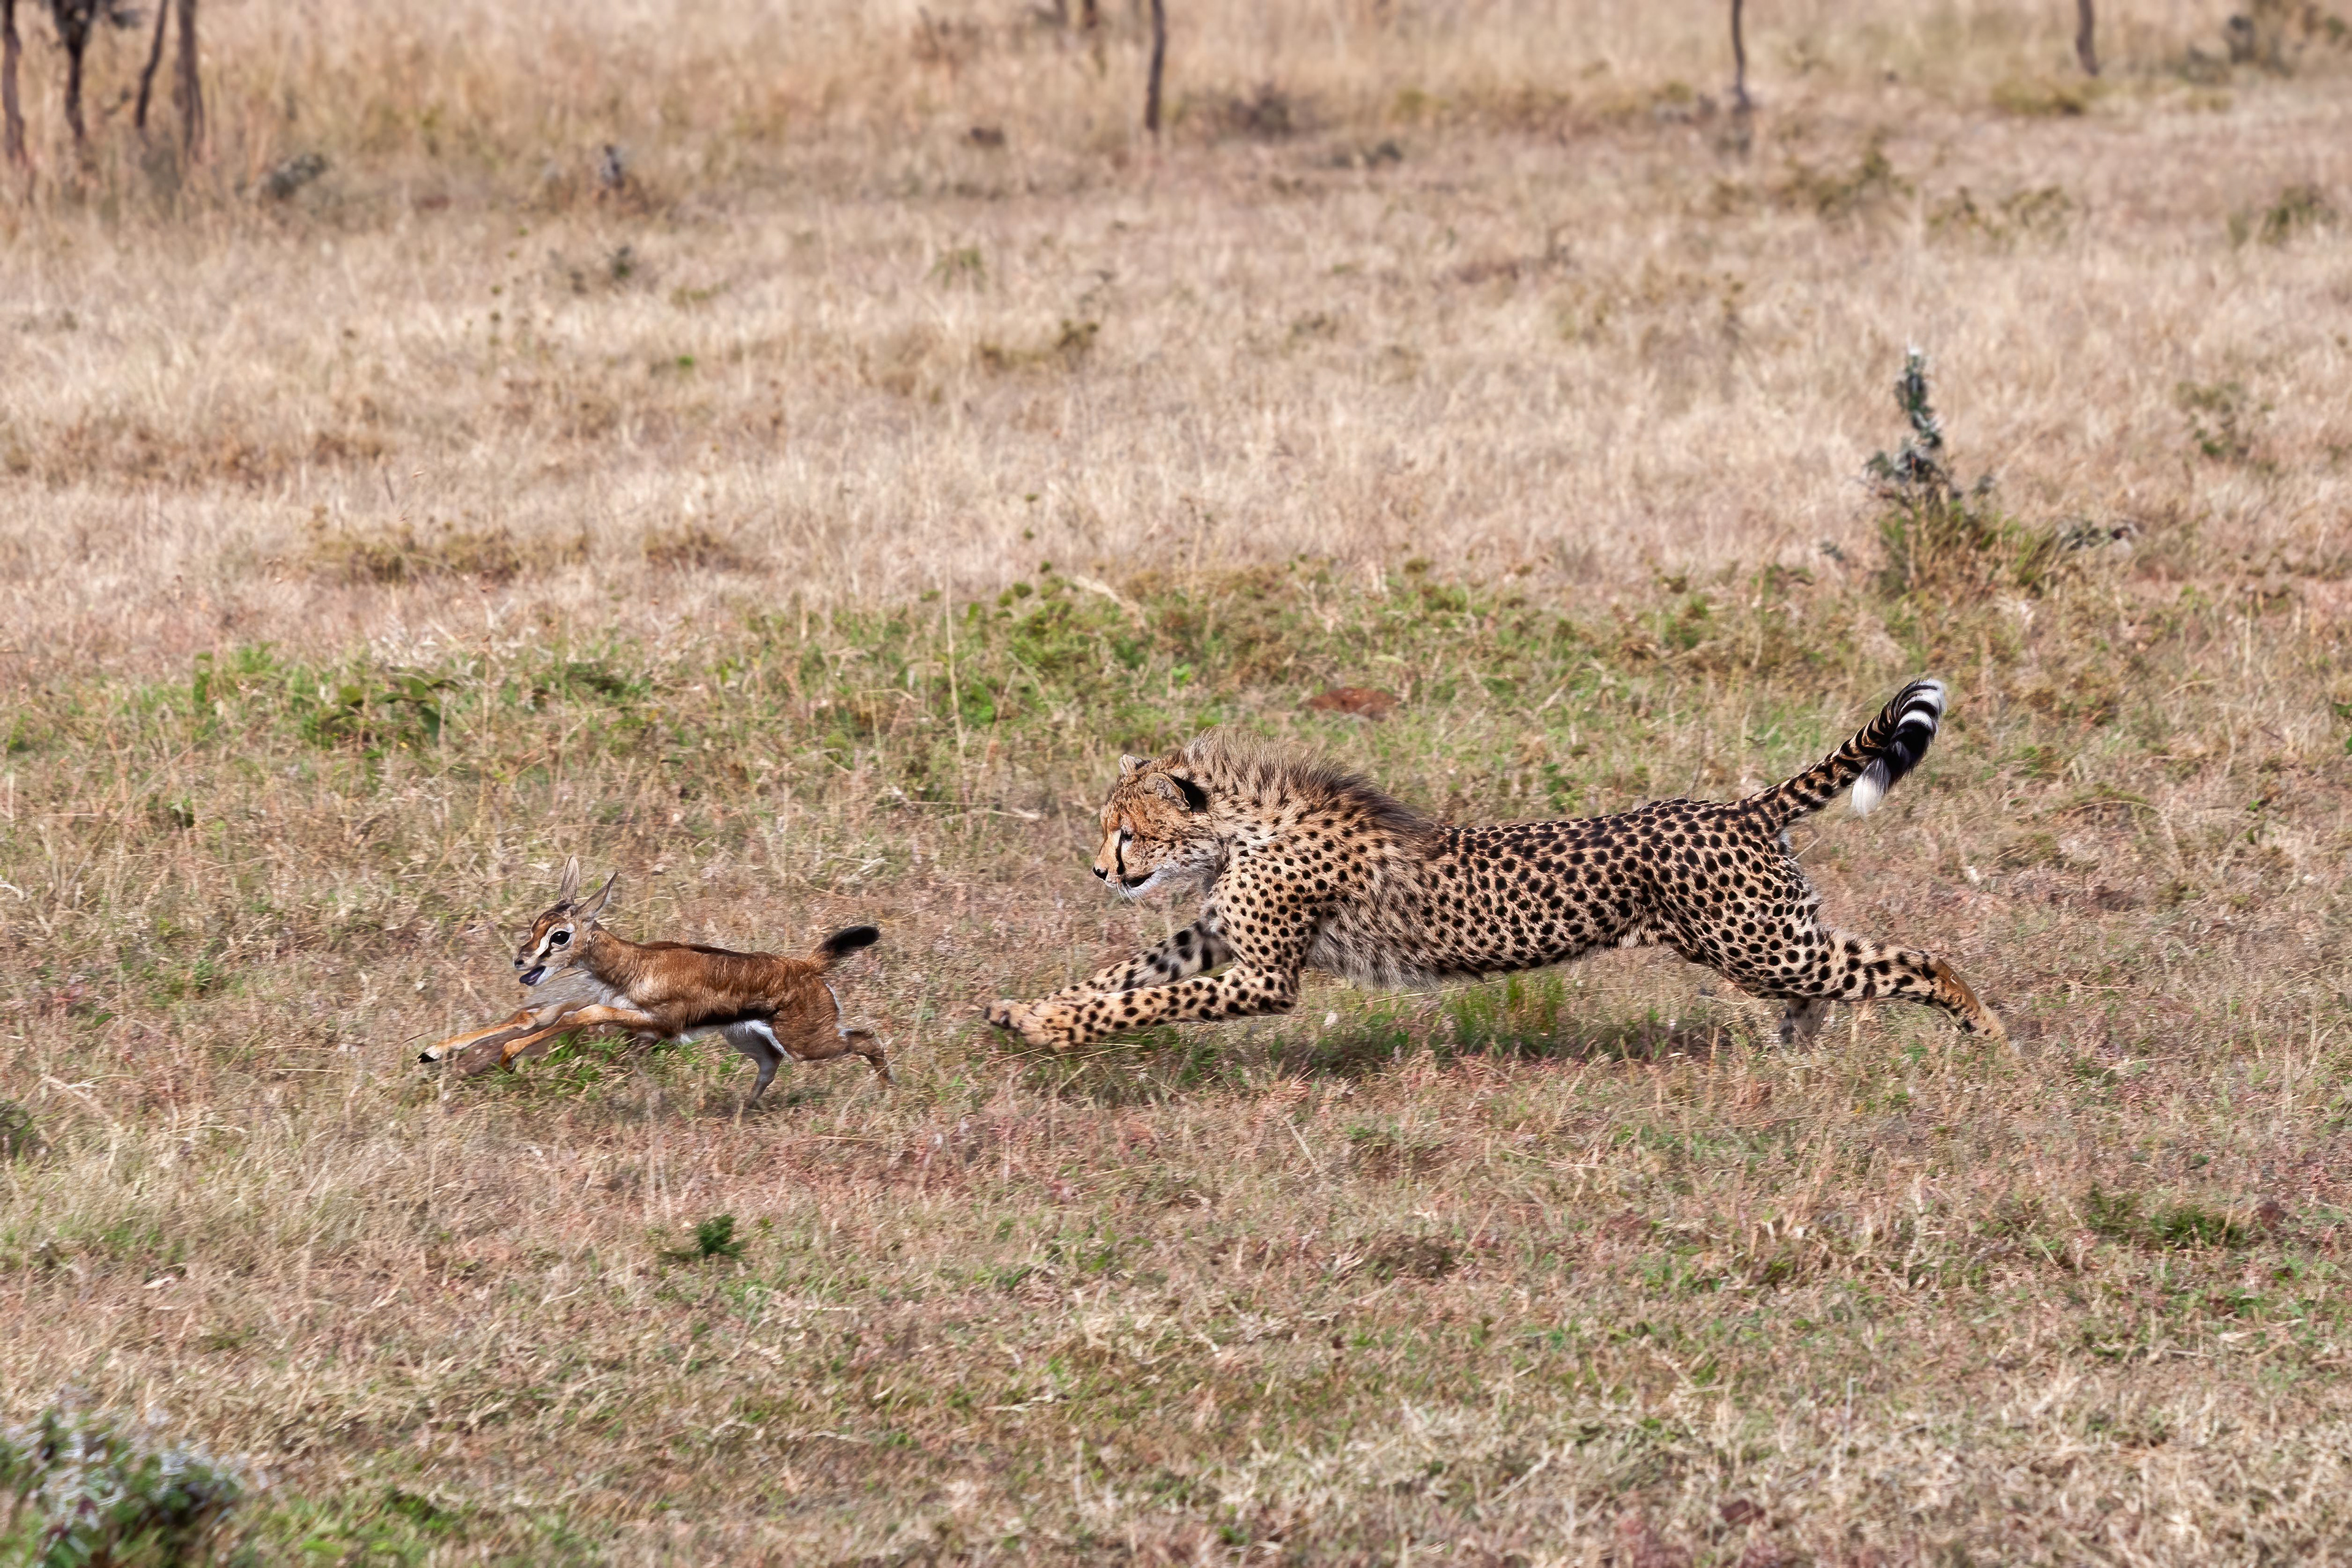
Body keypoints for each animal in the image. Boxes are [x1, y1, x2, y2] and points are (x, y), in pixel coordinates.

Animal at [983, 677, 2003, 1051]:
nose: (1100, 873)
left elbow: (1142, 1001)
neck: (1238, 829)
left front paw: (1052, 1030)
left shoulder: (1265, 976)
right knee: (1834, 983)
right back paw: (1796, 1049)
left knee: (1917, 959)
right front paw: (1026, 1011)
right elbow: (1119, 976)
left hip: (1762, 942)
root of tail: (1735, 804)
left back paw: (1987, 1027)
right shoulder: (1212, 941)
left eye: (1127, 833)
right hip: (1768, 942)